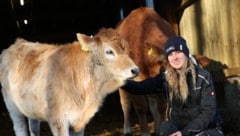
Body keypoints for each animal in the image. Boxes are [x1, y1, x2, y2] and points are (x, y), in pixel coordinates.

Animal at [0, 27, 140, 136]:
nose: (135, 70)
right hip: (12, 107)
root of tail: (18, 43)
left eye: (127, 50)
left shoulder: (80, 121)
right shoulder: (58, 121)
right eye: (109, 51)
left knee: (33, 127)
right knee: (20, 128)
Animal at [116, 7, 174, 136]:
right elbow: (140, 107)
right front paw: (145, 132)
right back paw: (127, 129)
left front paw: (160, 130)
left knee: (152, 103)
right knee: (125, 103)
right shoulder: (135, 79)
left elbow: (161, 106)